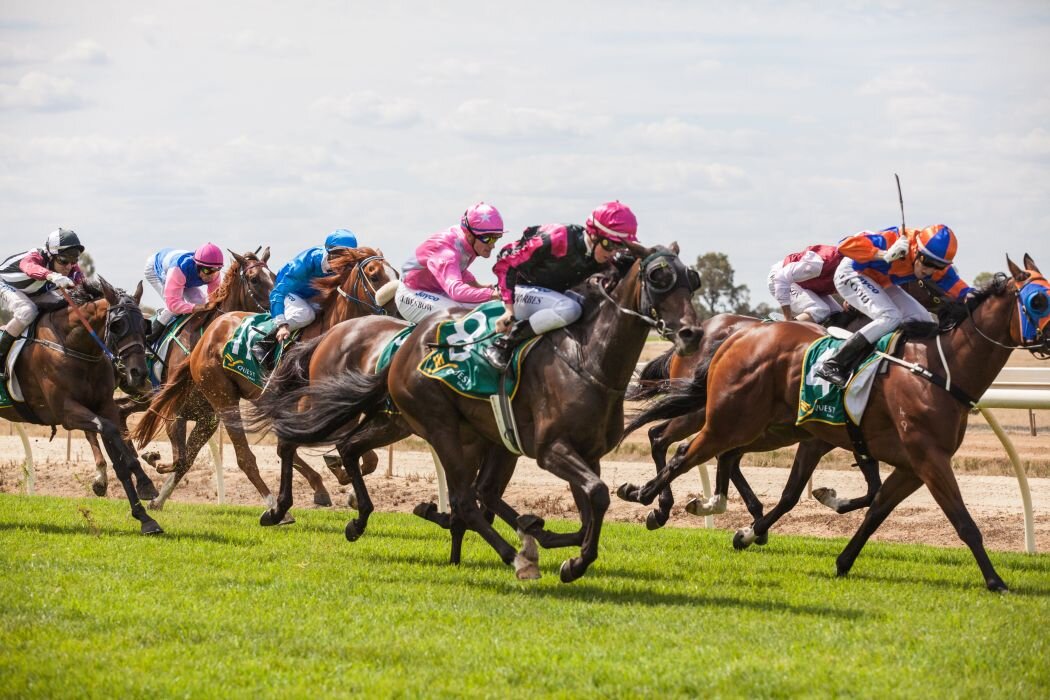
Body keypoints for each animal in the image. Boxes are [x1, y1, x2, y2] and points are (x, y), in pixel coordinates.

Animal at [0, 279, 163, 537]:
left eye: (144, 326)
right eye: (117, 325)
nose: (138, 373)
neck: (73, 346)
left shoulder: (105, 407)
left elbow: (119, 459)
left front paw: (144, 517)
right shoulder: (66, 412)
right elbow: (109, 431)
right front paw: (145, 484)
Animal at [82, 247, 275, 497]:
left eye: (273, 274)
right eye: (254, 279)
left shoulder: (207, 418)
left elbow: (183, 460)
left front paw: (151, 460)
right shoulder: (175, 412)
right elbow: (179, 458)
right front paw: (152, 459)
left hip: (143, 396)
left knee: (120, 411)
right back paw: (101, 477)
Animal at [129, 246, 394, 510]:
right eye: (374, 275)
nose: (394, 310)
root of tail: (207, 337)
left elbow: (367, 457)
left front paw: (343, 482)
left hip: (215, 409)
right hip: (221, 398)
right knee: (242, 457)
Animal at [262, 243, 705, 583]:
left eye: (693, 279)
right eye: (658, 278)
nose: (691, 332)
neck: (586, 357)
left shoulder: (572, 450)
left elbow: (585, 506)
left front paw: (560, 546)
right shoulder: (546, 449)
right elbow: (583, 496)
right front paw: (563, 555)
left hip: (394, 422)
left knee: (354, 450)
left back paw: (360, 518)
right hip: (406, 419)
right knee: (294, 442)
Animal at [613, 252, 1050, 591]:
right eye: (1038, 300)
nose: (952, 296)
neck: (939, 368)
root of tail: (735, 336)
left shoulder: (901, 461)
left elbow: (871, 505)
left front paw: (835, 552)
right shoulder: (926, 457)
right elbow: (961, 520)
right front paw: (995, 581)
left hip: (761, 425)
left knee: (715, 454)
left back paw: (705, 504)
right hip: (724, 417)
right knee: (674, 445)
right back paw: (653, 500)